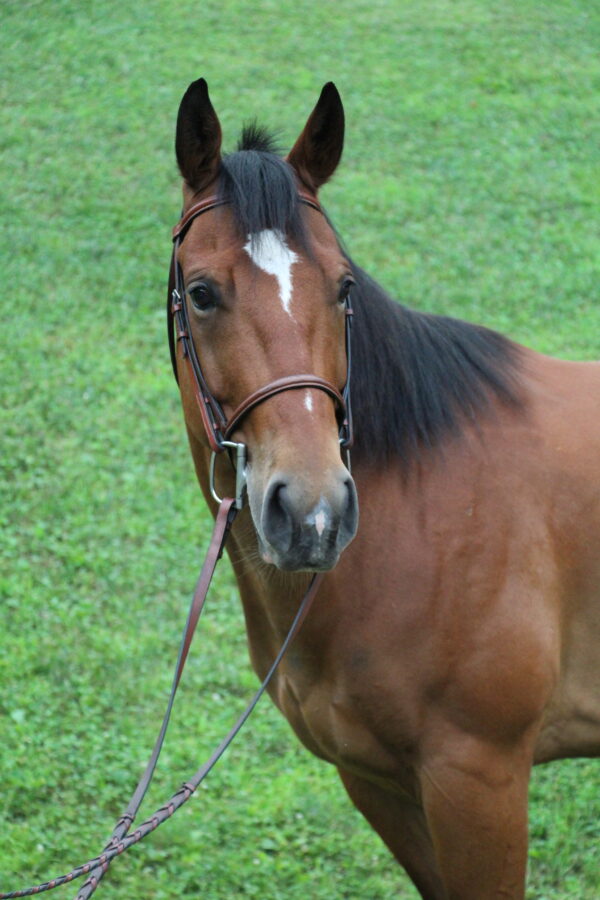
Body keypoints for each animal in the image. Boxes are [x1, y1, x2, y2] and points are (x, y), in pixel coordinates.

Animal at [168, 78, 600, 899]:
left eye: (343, 287)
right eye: (201, 294)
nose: (313, 512)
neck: (427, 519)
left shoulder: (479, 781)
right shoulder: (375, 780)